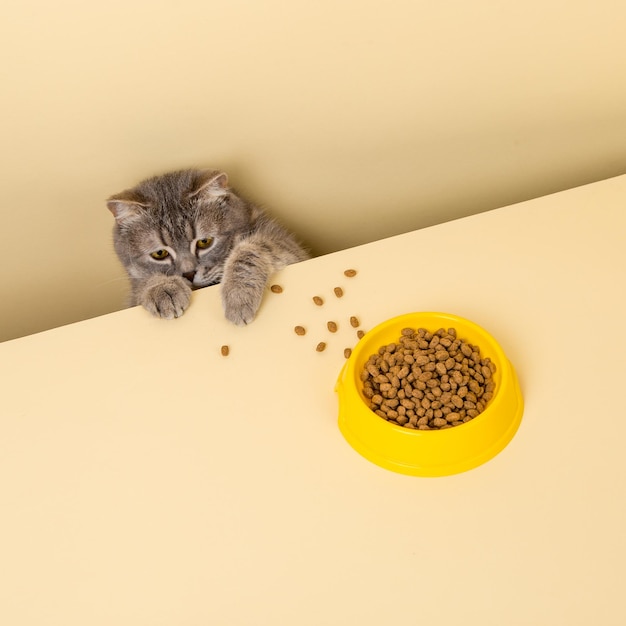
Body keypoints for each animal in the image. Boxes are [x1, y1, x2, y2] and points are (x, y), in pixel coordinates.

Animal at [109, 168, 310, 324]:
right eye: (159, 253)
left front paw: (238, 294)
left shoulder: (289, 247)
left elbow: (250, 250)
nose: (189, 274)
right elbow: (144, 283)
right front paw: (163, 288)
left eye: (204, 242)